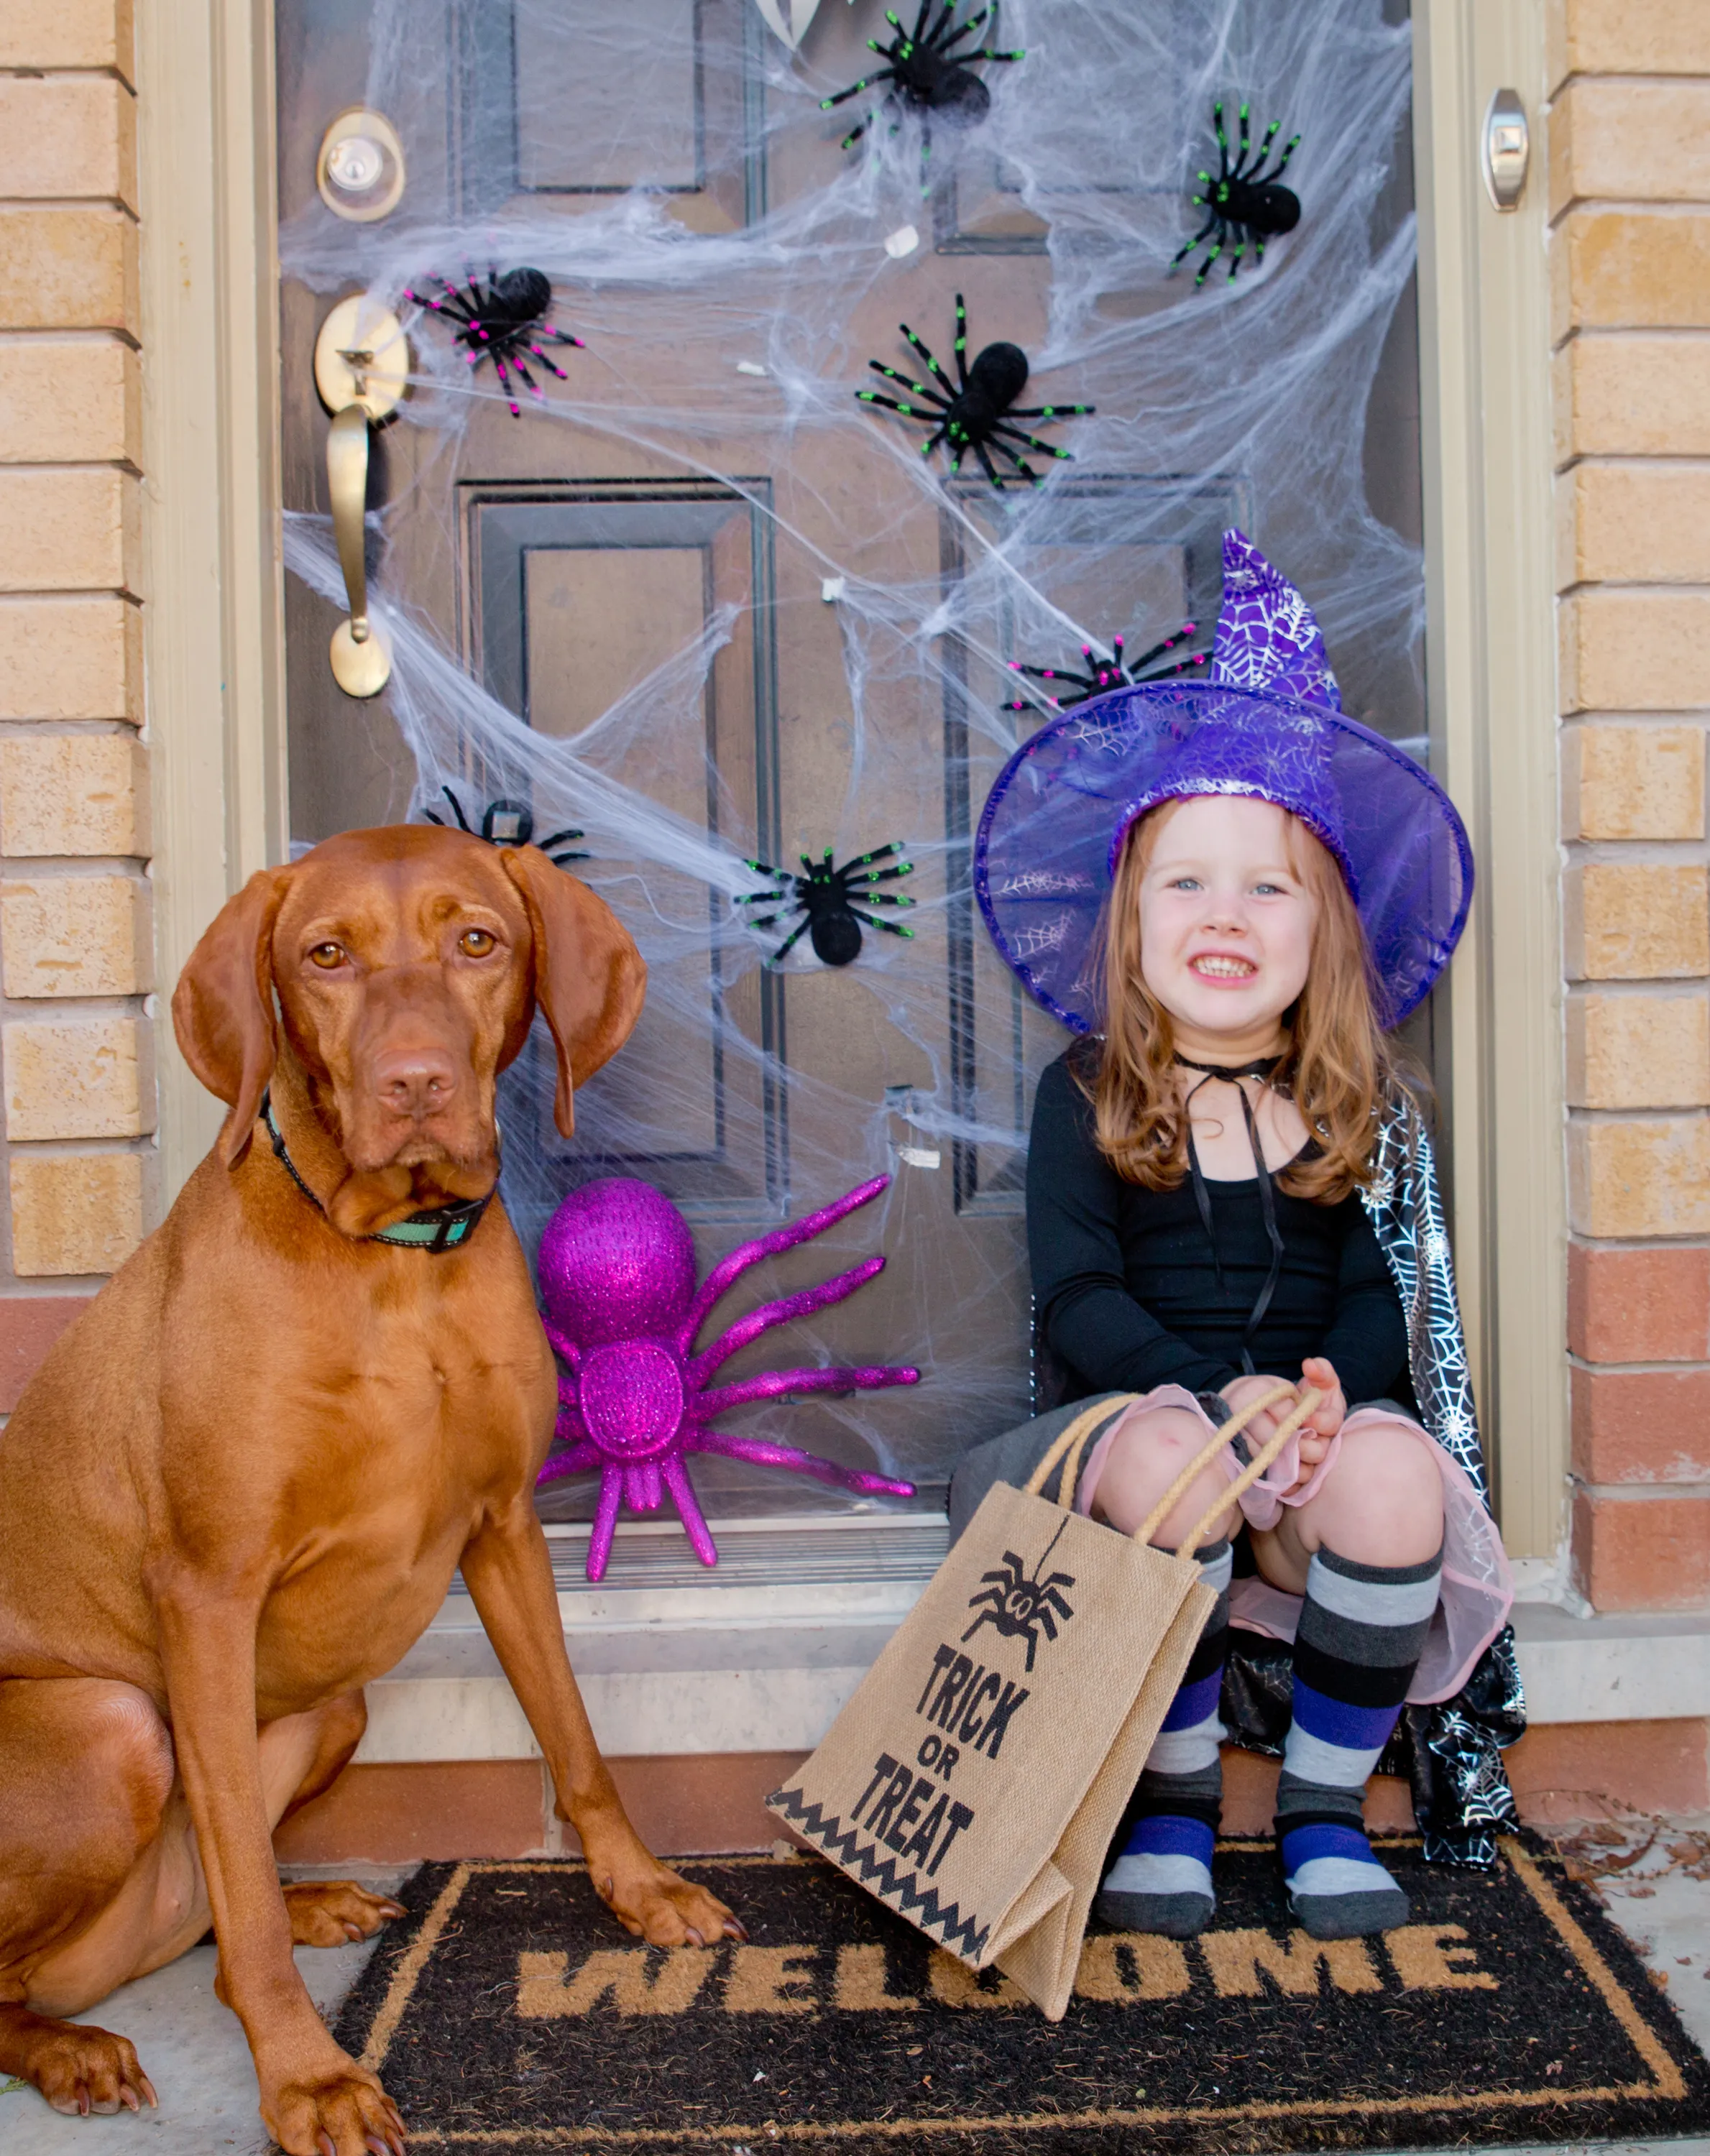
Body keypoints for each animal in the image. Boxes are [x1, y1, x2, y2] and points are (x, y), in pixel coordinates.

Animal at [0, 828, 742, 2156]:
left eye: (478, 942)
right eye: (325, 957)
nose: (414, 1085)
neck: (395, 1267)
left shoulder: (504, 1531)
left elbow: (574, 1734)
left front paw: (643, 1888)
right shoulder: (207, 1593)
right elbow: (243, 1881)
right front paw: (306, 2079)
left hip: (333, 1703)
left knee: (207, 1910)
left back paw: (304, 1913)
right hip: (113, 1728)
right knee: (101, 1947)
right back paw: (76, 2046)